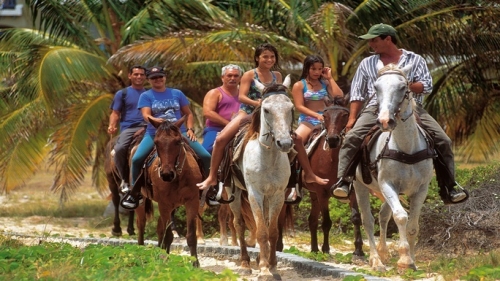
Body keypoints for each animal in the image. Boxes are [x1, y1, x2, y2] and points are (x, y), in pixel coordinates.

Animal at [135, 117, 203, 264]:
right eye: (156, 142)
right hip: (142, 200)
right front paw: (165, 261)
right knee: (141, 225)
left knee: (159, 228)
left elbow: (190, 236)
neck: (178, 177)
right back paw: (142, 251)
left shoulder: (192, 202)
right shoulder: (164, 205)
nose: (166, 174)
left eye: (177, 142)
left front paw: (195, 263)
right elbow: (168, 236)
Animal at [229, 75, 294, 276]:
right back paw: (245, 263)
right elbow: (261, 231)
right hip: (233, 193)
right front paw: (265, 270)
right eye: (266, 109)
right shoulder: (255, 194)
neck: (268, 159)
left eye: (291, 108)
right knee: (239, 224)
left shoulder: (277, 194)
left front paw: (272, 266)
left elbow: (271, 231)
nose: (284, 143)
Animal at [354, 62, 436, 270]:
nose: (384, 121)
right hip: (360, 186)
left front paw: (412, 262)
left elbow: (413, 226)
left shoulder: (421, 189)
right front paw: (404, 258)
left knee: (383, 215)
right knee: (368, 221)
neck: (406, 148)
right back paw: (376, 260)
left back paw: (383, 253)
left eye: (402, 87)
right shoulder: (387, 184)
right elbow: (400, 217)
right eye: (376, 87)